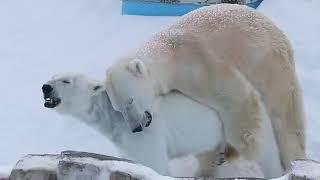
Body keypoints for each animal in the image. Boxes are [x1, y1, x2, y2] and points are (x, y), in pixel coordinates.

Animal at [41, 74, 282, 177]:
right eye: (53, 76)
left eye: (66, 80)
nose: (45, 87)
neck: (117, 117)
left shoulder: (147, 135)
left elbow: (155, 165)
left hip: (241, 120)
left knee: (266, 152)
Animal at [104, 3, 304, 170]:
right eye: (118, 109)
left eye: (130, 100)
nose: (136, 127)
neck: (168, 53)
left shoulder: (198, 64)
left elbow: (236, 97)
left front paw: (252, 148)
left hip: (267, 63)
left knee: (284, 116)